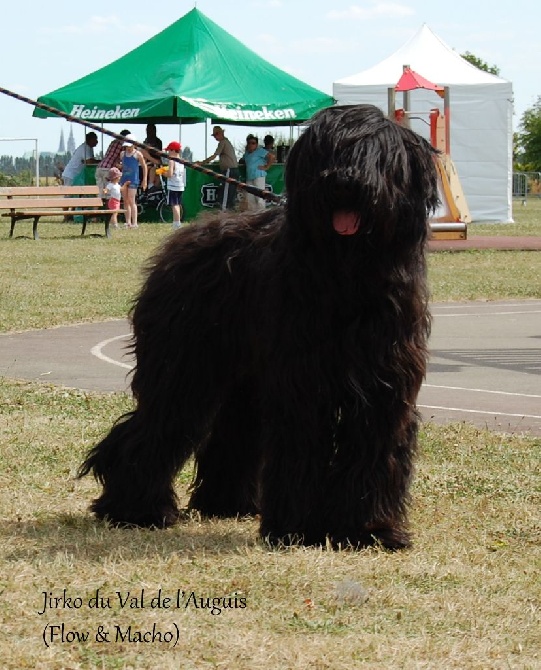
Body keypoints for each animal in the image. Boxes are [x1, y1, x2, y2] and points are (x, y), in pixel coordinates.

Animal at [79, 102, 438, 548]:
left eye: (377, 153)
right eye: (330, 149)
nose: (344, 181)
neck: (347, 275)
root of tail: (181, 242)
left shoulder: (383, 382)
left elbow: (373, 448)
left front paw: (369, 529)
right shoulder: (303, 378)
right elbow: (302, 444)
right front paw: (298, 528)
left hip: (242, 376)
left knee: (232, 431)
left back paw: (226, 502)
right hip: (185, 364)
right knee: (157, 424)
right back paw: (135, 509)